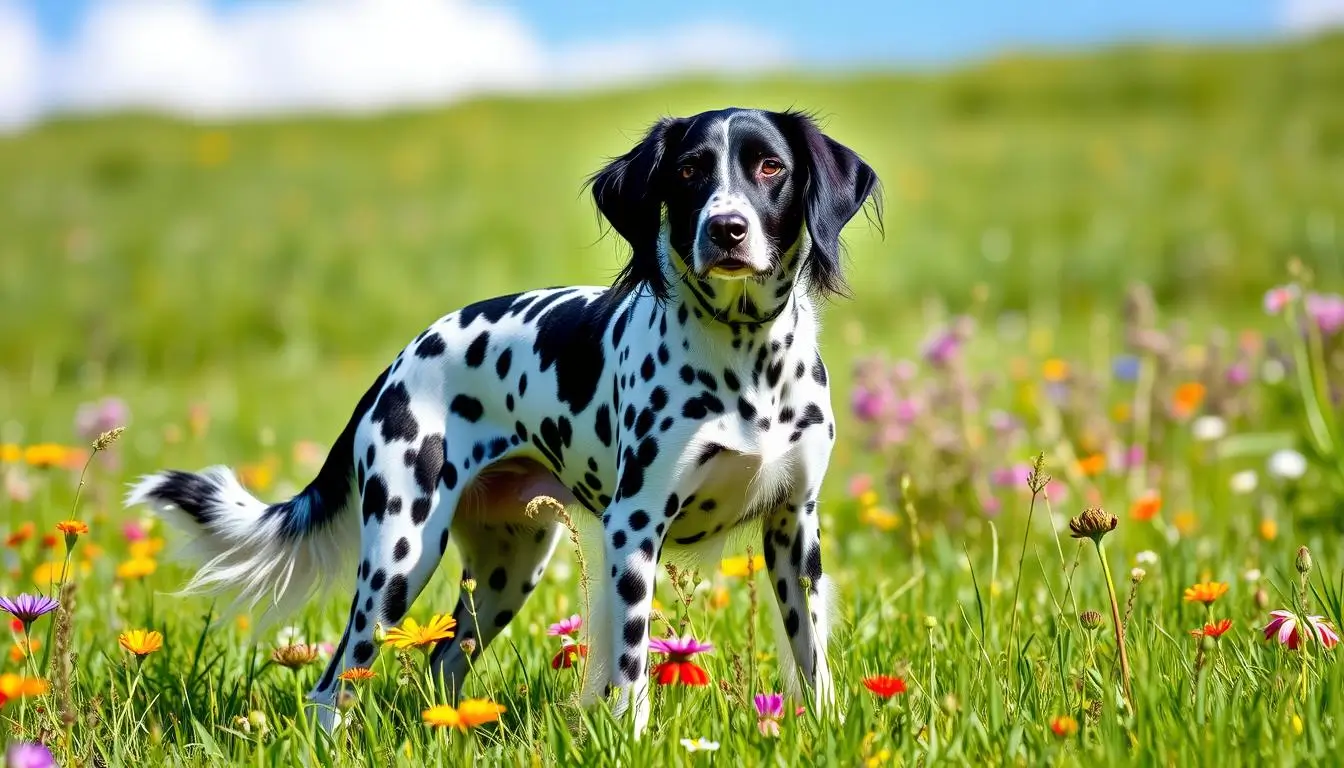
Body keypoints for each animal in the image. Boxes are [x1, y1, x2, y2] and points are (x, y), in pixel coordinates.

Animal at [128, 106, 881, 731]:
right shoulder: (634, 528)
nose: (727, 229)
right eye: (690, 169)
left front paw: (826, 729)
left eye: (770, 167)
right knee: (332, 682)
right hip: (399, 558)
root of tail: (398, 362)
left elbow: (812, 659)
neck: (747, 366)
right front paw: (633, 737)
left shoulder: (795, 529)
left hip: (505, 571)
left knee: (442, 665)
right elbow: (631, 669)